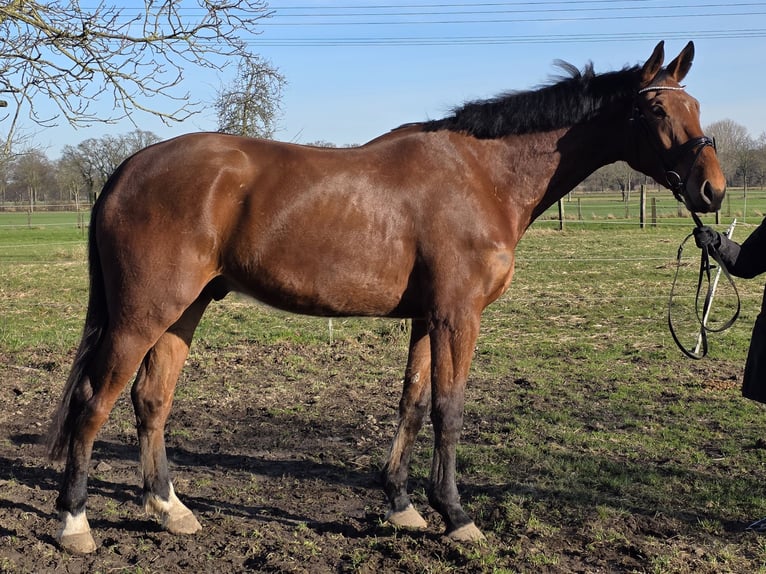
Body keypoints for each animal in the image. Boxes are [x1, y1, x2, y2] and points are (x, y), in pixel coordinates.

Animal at [47, 41, 725, 554]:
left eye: (694, 104)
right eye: (653, 111)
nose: (712, 190)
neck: (483, 176)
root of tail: (126, 169)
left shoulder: (427, 318)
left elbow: (413, 406)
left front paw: (402, 505)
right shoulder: (457, 317)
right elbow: (450, 410)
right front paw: (457, 516)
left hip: (184, 312)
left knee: (151, 401)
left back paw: (170, 509)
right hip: (141, 315)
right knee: (94, 401)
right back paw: (75, 522)